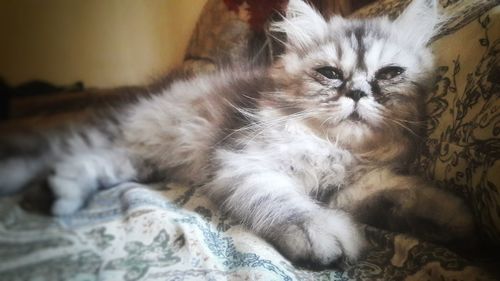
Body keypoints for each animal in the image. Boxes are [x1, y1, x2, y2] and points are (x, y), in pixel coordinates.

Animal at [0, 0, 474, 264]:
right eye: (330, 74)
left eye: (390, 74)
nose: (357, 93)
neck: (332, 147)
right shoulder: (244, 163)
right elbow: (288, 204)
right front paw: (322, 234)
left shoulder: (356, 187)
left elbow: (405, 196)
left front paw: (459, 221)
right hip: (134, 134)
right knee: (59, 151)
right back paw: (41, 189)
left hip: (137, 157)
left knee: (91, 161)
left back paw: (57, 193)